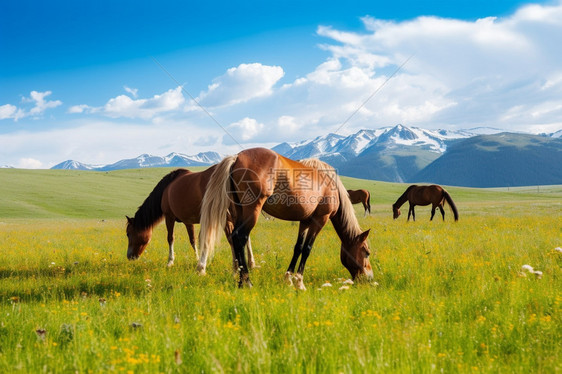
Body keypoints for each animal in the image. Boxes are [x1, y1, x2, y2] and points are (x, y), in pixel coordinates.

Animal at [126, 167, 255, 268]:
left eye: (128, 234)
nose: (129, 256)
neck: (167, 188)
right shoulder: (188, 221)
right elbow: (193, 240)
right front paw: (197, 259)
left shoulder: (169, 217)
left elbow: (170, 238)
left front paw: (170, 261)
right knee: (244, 235)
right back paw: (250, 263)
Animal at [197, 147, 372, 290]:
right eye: (366, 252)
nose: (369, 279)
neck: (330, 186)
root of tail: (237, 157)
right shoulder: (320, 219)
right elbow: (307, 249)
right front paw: (300, 282)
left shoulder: (305, 221)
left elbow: (298, 247)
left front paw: (288, 279)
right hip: (252, 210)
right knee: (241, 237)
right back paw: (246, 282)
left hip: (239, 210)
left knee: (235, 237)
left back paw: (240, 281)